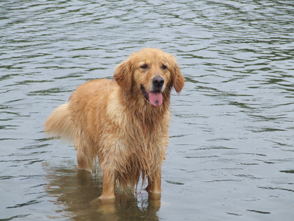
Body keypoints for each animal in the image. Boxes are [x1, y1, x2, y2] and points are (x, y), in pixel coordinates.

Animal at [44, 48, 184, 200]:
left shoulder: (155, 164)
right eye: (144, 66)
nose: (158, 81)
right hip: (84, 152)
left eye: (164, 67)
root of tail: (83, 85)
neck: (142, 119)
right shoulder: (112, 163)